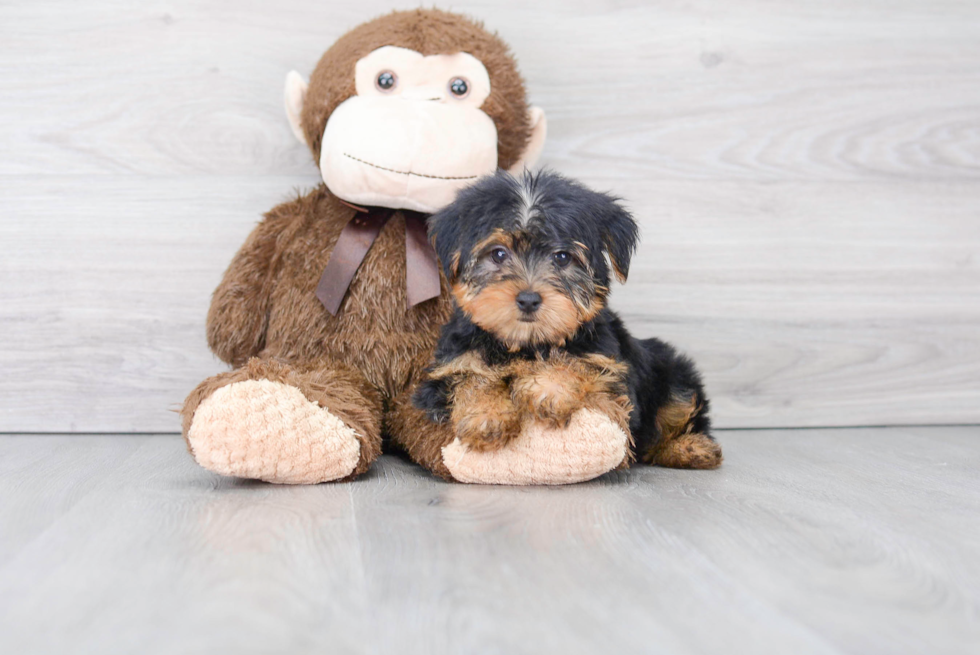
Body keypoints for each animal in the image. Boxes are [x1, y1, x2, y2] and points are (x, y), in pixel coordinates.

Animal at [410, 170, 724, 472]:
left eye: (562, 258)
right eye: (498, 253)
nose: (528, 299)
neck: (525, 344)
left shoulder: (609, 369)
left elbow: (576, 362)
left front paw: (550, 388)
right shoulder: (446, 371)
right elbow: (469, 376)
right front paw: (486, 415)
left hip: (673, 372)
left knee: (674, 414)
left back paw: (691, 448)